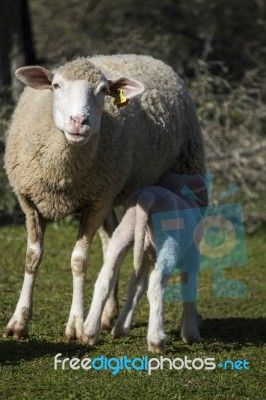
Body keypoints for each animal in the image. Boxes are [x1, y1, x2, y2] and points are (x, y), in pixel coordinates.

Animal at [83, 172, 204, 350]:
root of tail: (148, 195)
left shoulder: (145, 256)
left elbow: (136, 287)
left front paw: (121, 328)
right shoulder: (193, 256)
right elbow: (189, 289)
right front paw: (190, 335)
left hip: (125, 231)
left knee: (106, 277)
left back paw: (89, 332)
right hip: (168, 238)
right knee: (156, 283)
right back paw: (156, 340)